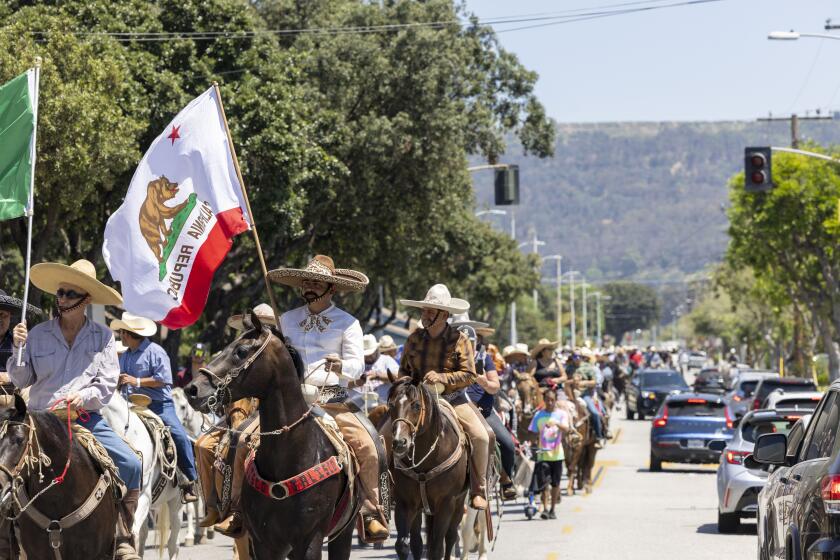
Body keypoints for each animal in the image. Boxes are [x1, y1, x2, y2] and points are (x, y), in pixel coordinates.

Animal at [386, 376, 466, 560]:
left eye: (416, 405)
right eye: (391, 405)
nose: (400, 442)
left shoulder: (446, 503)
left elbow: (437, 548)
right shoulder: (405, 503)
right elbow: (403, 545)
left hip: (459, 503)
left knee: (451, 537)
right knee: (417, 542)